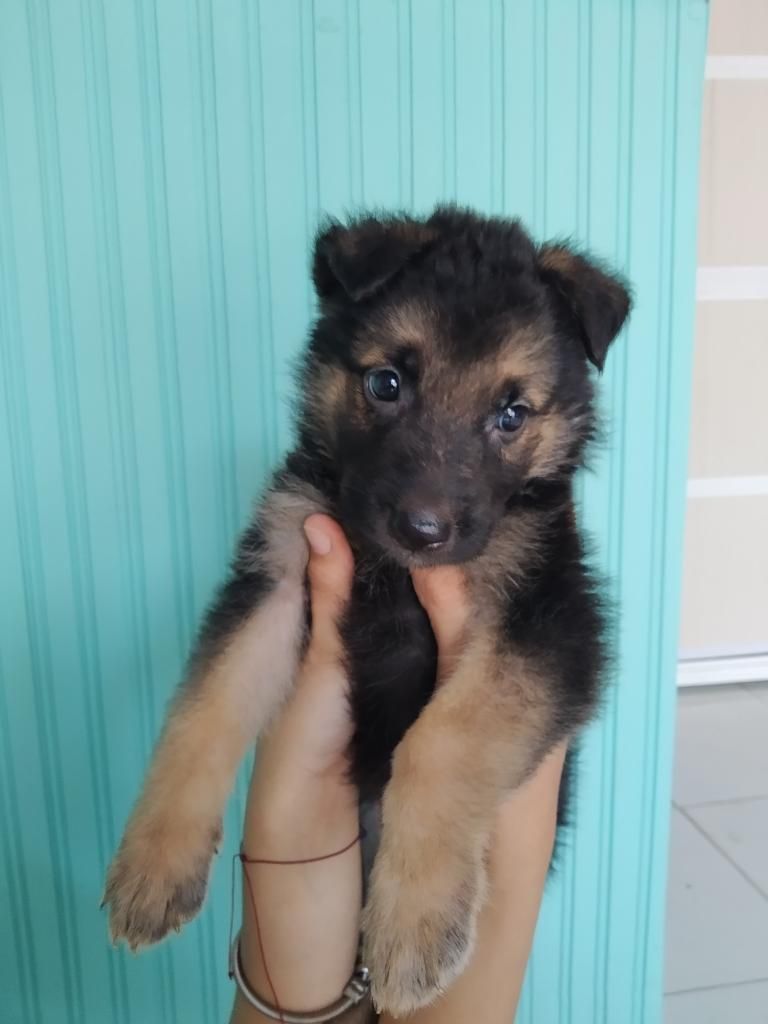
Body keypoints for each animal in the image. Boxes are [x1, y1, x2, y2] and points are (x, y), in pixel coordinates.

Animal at [102, 203, 630, 1011]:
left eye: (511, 414)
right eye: (386, 383)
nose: (422, 529)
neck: (395, 573)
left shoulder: (552, 621)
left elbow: (442, 739)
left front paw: (413, 923)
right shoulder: (278, 571)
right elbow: (206, 704)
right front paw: (155, 861)